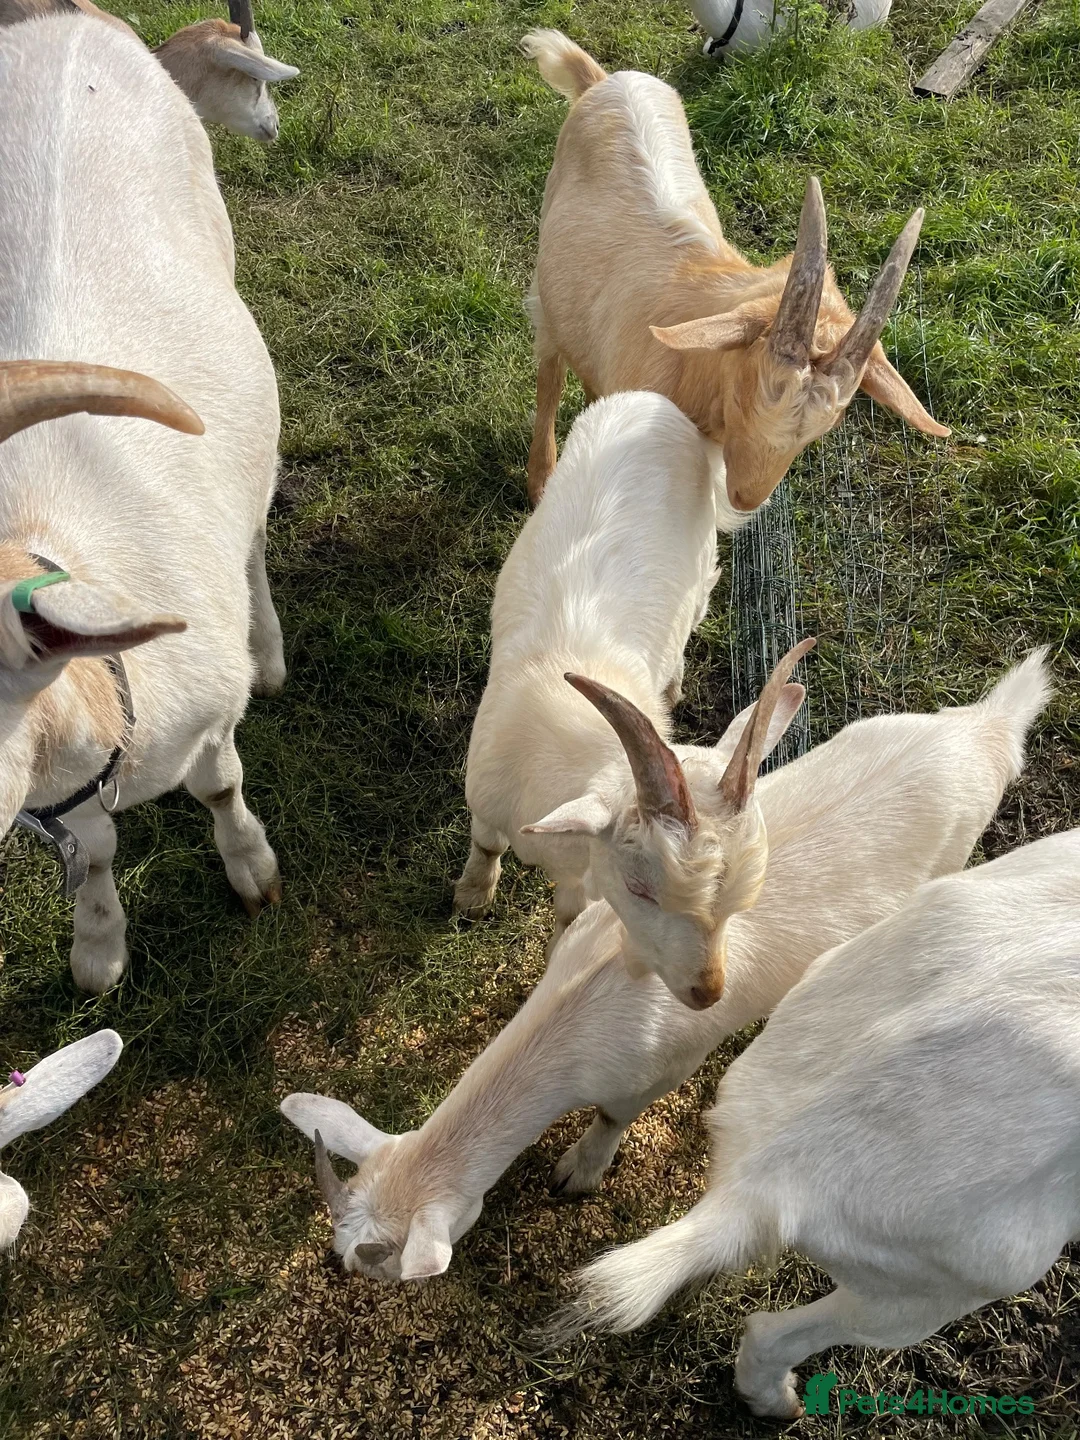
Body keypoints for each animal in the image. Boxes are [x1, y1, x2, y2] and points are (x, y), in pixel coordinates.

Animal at [1, 15, 287, 991]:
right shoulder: (64, 789)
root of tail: (74, 19)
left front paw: (251, 868)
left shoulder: (209, 716)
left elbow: (221, 785)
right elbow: (93, 853)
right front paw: (98, 947)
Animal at [283, 653, 1049, 1282]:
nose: (346, 1277)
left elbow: (613, 1116)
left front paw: (579, 1171)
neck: (576, 1022)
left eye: (383, 1264)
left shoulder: (666, 1064)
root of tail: (986, 729)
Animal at [452, 389, 810, 1009]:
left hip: (701, 577)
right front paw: (471, 897)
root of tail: (656, 403)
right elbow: (486, 843)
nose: (706, 992)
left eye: (736, 903)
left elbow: (569, 916)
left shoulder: (580, 870)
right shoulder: (487, 795)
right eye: (641, 889)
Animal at [520, 29, 949, 509]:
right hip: (546, 294)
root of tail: (605, 80)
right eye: (747, 390)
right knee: (550, 372)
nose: (746, 497)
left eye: (824, 429)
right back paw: (541, 478)